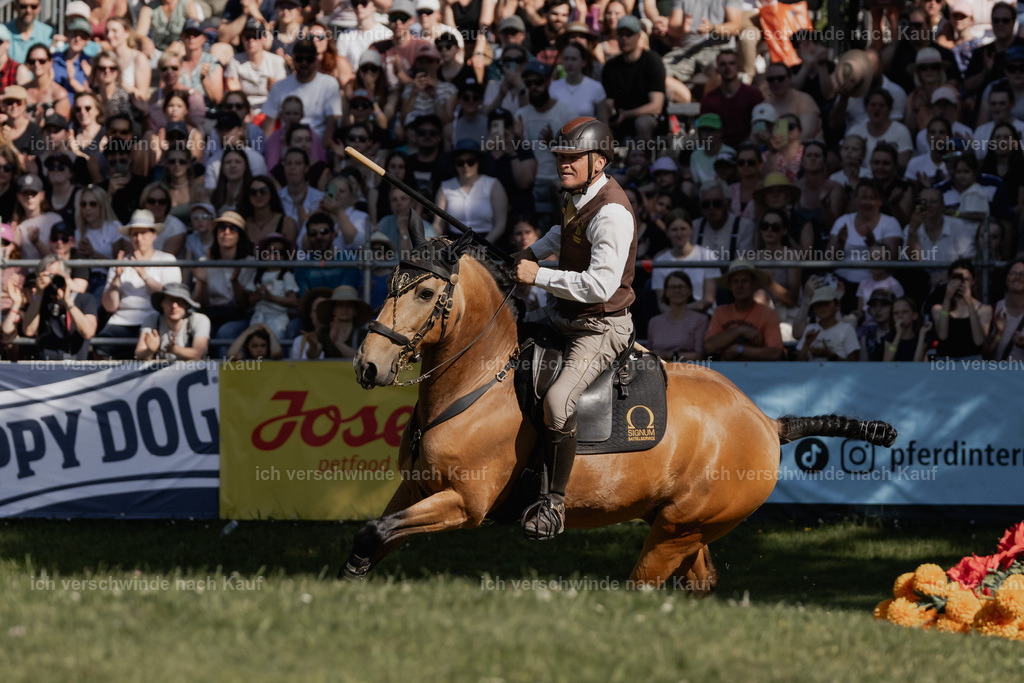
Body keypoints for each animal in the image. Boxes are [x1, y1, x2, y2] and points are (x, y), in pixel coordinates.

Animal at [344, 238, 896, 589]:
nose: (368, 365)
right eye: (390, 282)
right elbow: (376, 534)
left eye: (424, 292)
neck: (478, 384)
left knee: (644, 585)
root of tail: (767, 422)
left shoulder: (464, 503)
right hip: (687, 530)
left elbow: (376, 531)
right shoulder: (415, 489)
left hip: (677, 531)